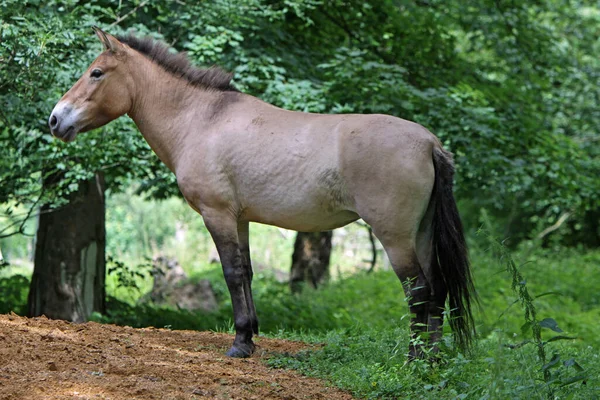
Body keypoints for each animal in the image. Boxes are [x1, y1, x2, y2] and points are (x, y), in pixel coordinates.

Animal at [49, 28, 476, 360]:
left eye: (96, 72)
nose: (55, 119)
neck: (200, 120)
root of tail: (429, 143)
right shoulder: (240, 219)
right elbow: (248, 272)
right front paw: (251, 337)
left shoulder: (217, 215)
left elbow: (232, 273)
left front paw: (239, 343)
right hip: (421, 234)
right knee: (438, 290)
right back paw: (434, 361)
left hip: (395, 236)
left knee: (420, 291)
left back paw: (415, 360)